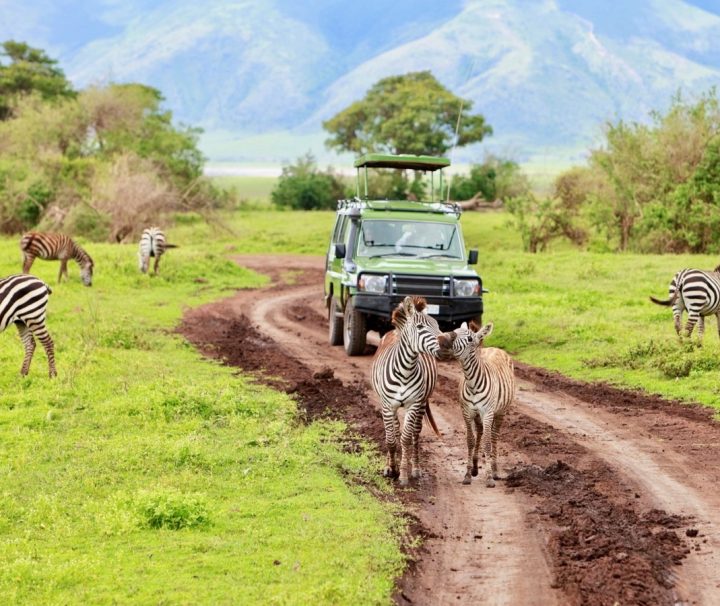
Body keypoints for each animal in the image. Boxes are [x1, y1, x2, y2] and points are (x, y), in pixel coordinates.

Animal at [372, 296, 450, 486]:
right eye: (420, 327)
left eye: (437, 325)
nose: (446, 344)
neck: (405, 370)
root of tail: (394, 331)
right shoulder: (387, 405)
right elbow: (391, 439)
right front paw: (391, 468)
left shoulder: (413, 404)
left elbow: (406, 438)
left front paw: (403, 474)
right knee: (394, 430)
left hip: (421, 404)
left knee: (415, 433)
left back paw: (415, 468)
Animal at [442, 324, 516, 490]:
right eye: (455, 331)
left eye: (470, 338)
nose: (443, 339)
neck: (472, 383)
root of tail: (496, 348)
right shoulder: (467, 412)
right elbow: (470, 440)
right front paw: (468, 475)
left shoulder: (488, 412)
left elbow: (487, 443)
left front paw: (489, 478)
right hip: (478, 415)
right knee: (481, 432)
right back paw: (476, 467)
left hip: (500, 412)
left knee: (493, 436)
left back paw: (495, 470)